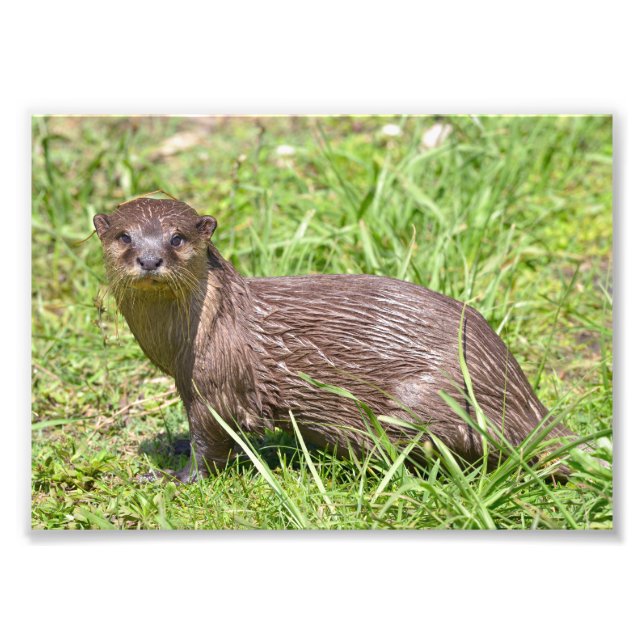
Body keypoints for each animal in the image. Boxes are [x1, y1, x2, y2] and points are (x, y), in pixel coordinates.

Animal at [94, 197, 576, 482]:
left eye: (177, 238)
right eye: (124, 236)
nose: (150, 259)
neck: (183, 342)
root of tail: (520, 393)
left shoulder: (218, 386)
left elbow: (211, 443)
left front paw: (173, 477)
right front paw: (171, 446)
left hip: (425, 401)